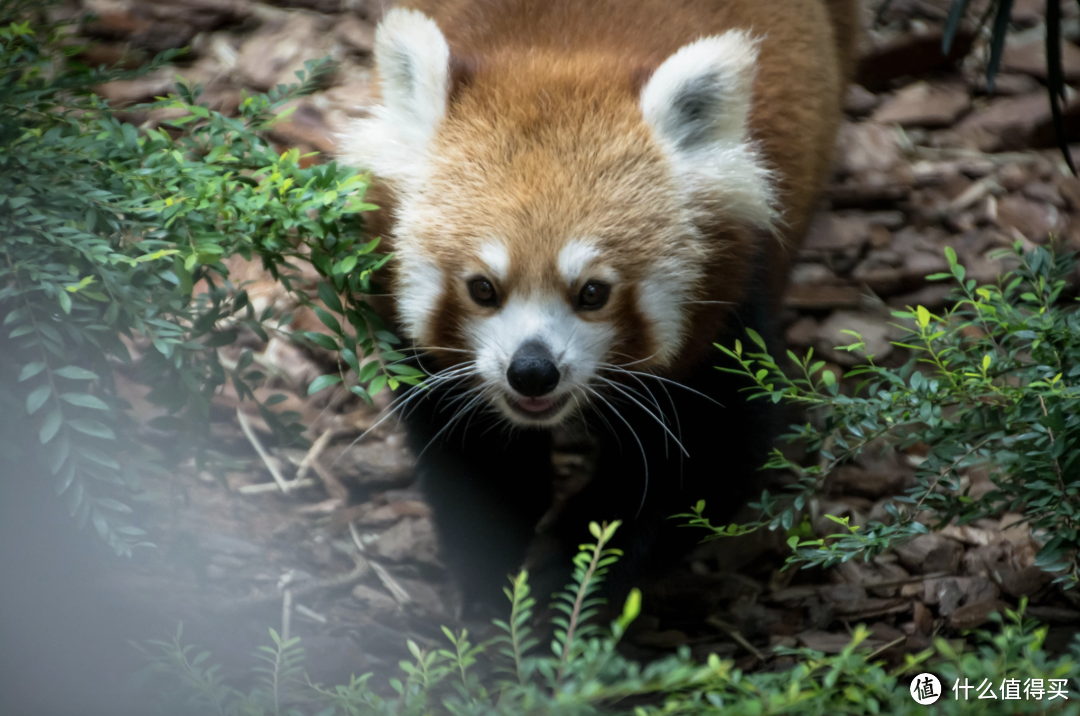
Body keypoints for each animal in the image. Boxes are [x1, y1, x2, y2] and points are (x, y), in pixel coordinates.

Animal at [341, 0, 855, 609]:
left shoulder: (727, 306)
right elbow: (470, 455)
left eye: (593, 292)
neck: (560, 51)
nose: (532, 371)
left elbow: (701, 461)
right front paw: (492, 590)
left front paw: (568, 583)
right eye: (482, 288)